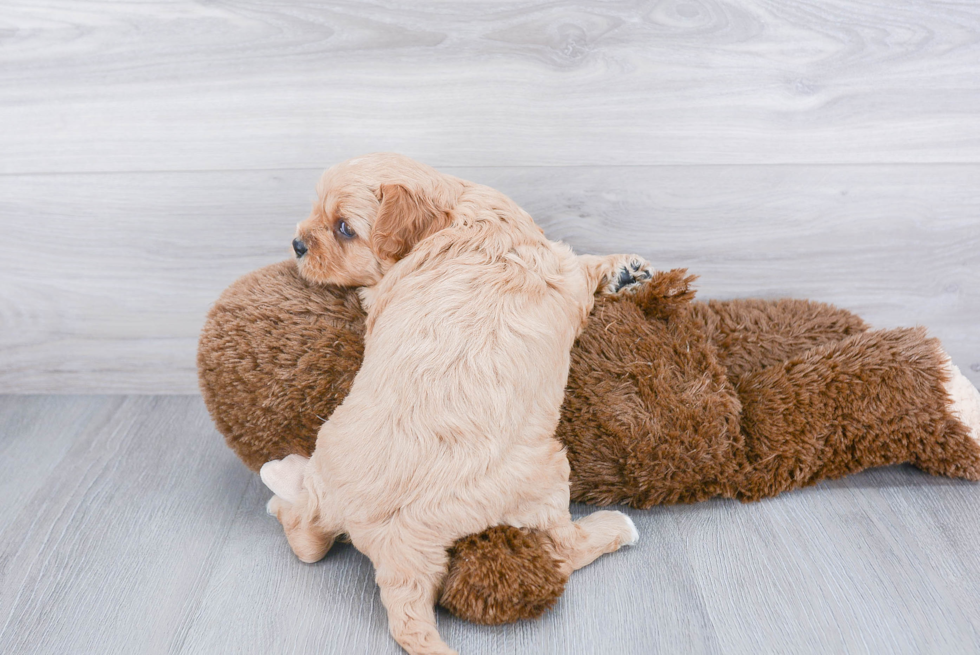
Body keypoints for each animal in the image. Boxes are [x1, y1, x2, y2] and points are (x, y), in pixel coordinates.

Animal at [268, 155, 652, 655]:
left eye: (344, 228)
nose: (297, 244)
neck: (455, 214)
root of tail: (394, 544)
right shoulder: (560, 267)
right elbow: (584, 265)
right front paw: (621, 269)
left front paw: (627, 271)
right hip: (545, 474)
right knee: (564, 546)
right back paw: (618, 527)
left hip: (326, 468)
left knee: (306, 536)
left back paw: (281, 486)